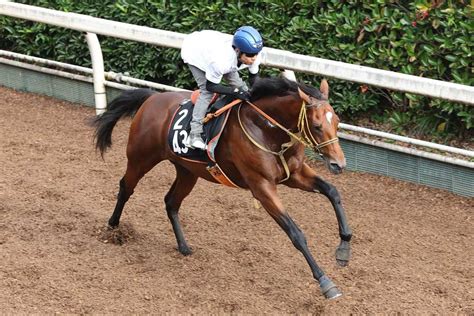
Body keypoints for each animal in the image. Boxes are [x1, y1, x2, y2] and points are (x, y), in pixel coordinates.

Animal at [91, 76, 352, 298]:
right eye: (317, 126)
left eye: (337, 122)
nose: (338, 164)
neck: (267, 129)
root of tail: (152, 98)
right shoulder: (261, 186)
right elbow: (295, 232)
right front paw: (326, 283)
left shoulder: (295, 175)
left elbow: (333, 192)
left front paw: (343, 250)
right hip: (141, 158)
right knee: (126, 187)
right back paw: (113, 227)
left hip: (187, 171)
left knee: (171, 202)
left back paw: (183, 246)